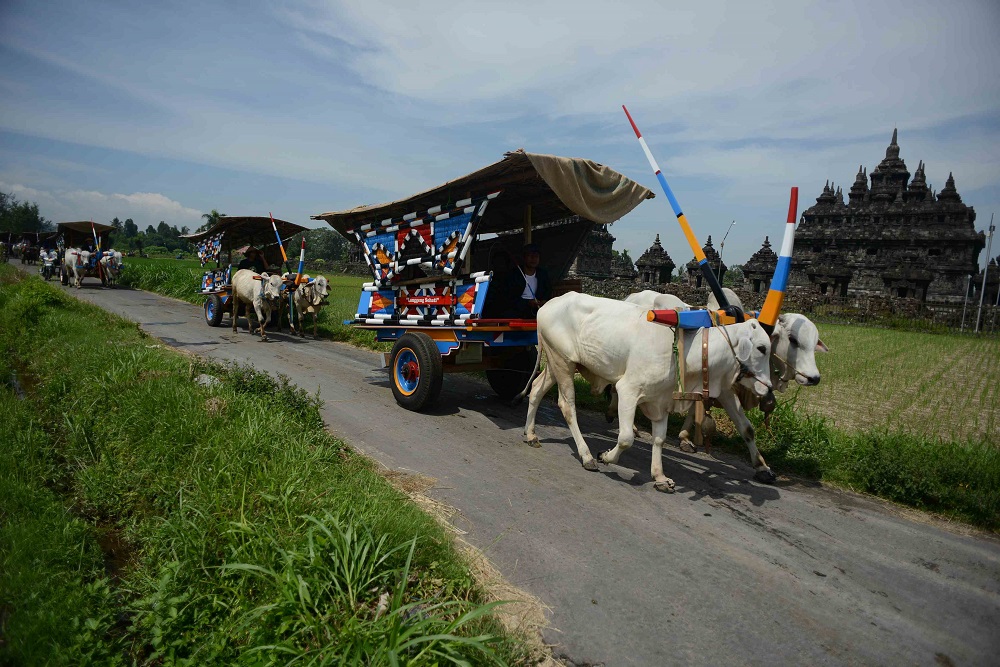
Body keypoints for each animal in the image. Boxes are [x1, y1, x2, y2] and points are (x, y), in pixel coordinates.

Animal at [524, 294, 772, 494]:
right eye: (762, 348)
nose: (769, 390)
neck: (685, 353)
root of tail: (547, 305)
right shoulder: (628, 391)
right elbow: (626, 438)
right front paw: (606, 456)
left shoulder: (661, 402)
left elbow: (659, 439)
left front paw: (660, 477)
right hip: (563, 363)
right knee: (567, 406)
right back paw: (586, 456)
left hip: (558, 364)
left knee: (536, 389)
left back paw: (531, 434)